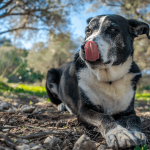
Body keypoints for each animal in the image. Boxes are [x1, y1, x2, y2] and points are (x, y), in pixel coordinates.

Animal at [46, 14, 149, 148]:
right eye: (88, 30)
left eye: (112, 29)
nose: (84, 47)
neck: (109, 79)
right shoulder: (84, 110)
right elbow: (103, 117)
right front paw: (118, 133)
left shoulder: (129, 111)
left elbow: (135, 119)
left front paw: (136, 133)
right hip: (50, 76)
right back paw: (62, 105)